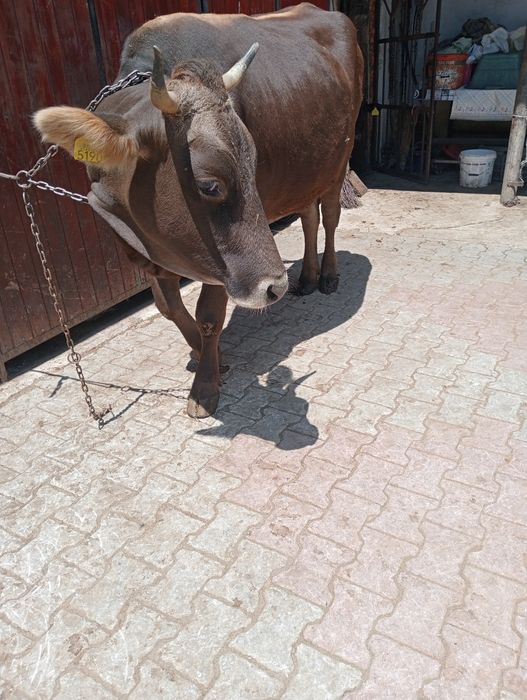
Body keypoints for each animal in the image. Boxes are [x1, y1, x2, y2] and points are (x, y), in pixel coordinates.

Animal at [33, 2, 363, 418]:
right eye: (210, 185)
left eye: (254, 163)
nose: (275, 286)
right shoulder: (148, 249)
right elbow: (169, 308)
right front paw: (207, 356)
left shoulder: (221, 262)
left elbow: (208, 316)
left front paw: (205, 387)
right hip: (306, 169)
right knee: (308, 216)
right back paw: (306, 277)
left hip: (339, 159)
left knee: (330, 216)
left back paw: (328, 277)